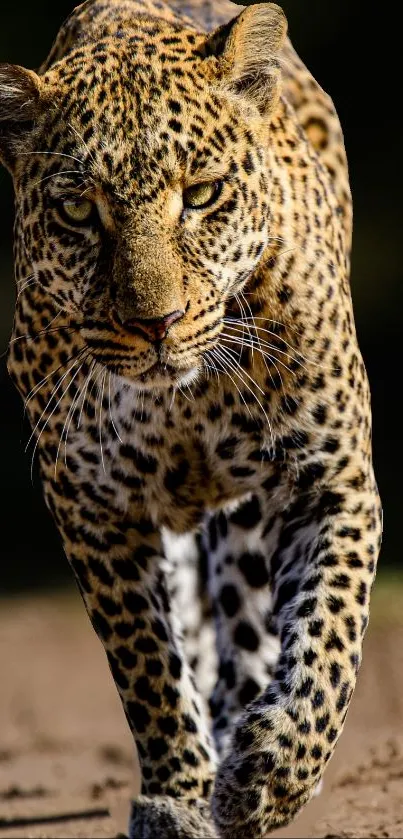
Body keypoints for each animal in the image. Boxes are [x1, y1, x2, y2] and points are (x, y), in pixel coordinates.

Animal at [0, 0, 384, 836]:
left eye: (202, 194)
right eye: (77, 210)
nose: (157, 323)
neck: (186, 397)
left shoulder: (330, 477)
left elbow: (329, 638)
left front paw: (270, 774)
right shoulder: (92, 504)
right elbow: (147, 663)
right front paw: (178, 794)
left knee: (250, 620)